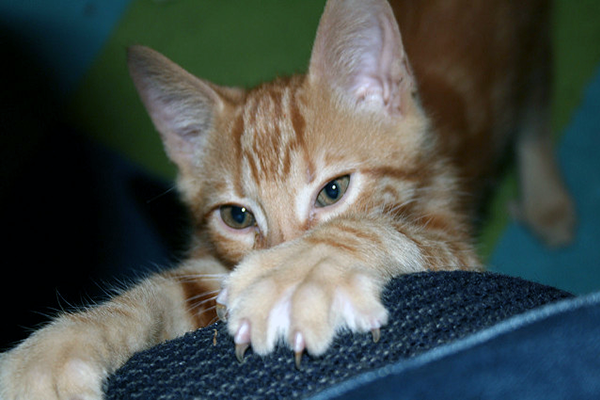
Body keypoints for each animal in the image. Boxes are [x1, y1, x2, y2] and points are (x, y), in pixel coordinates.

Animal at [0, 0, 576, 400]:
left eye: (333, 191)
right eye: (237, 216)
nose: (279, 250)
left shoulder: (455, 243)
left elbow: (384, 229)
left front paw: (299, 270)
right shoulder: (213, 274)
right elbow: (161, 293)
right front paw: (54, 352)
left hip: (532, 54)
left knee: (536, 113)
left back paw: (547, 199)